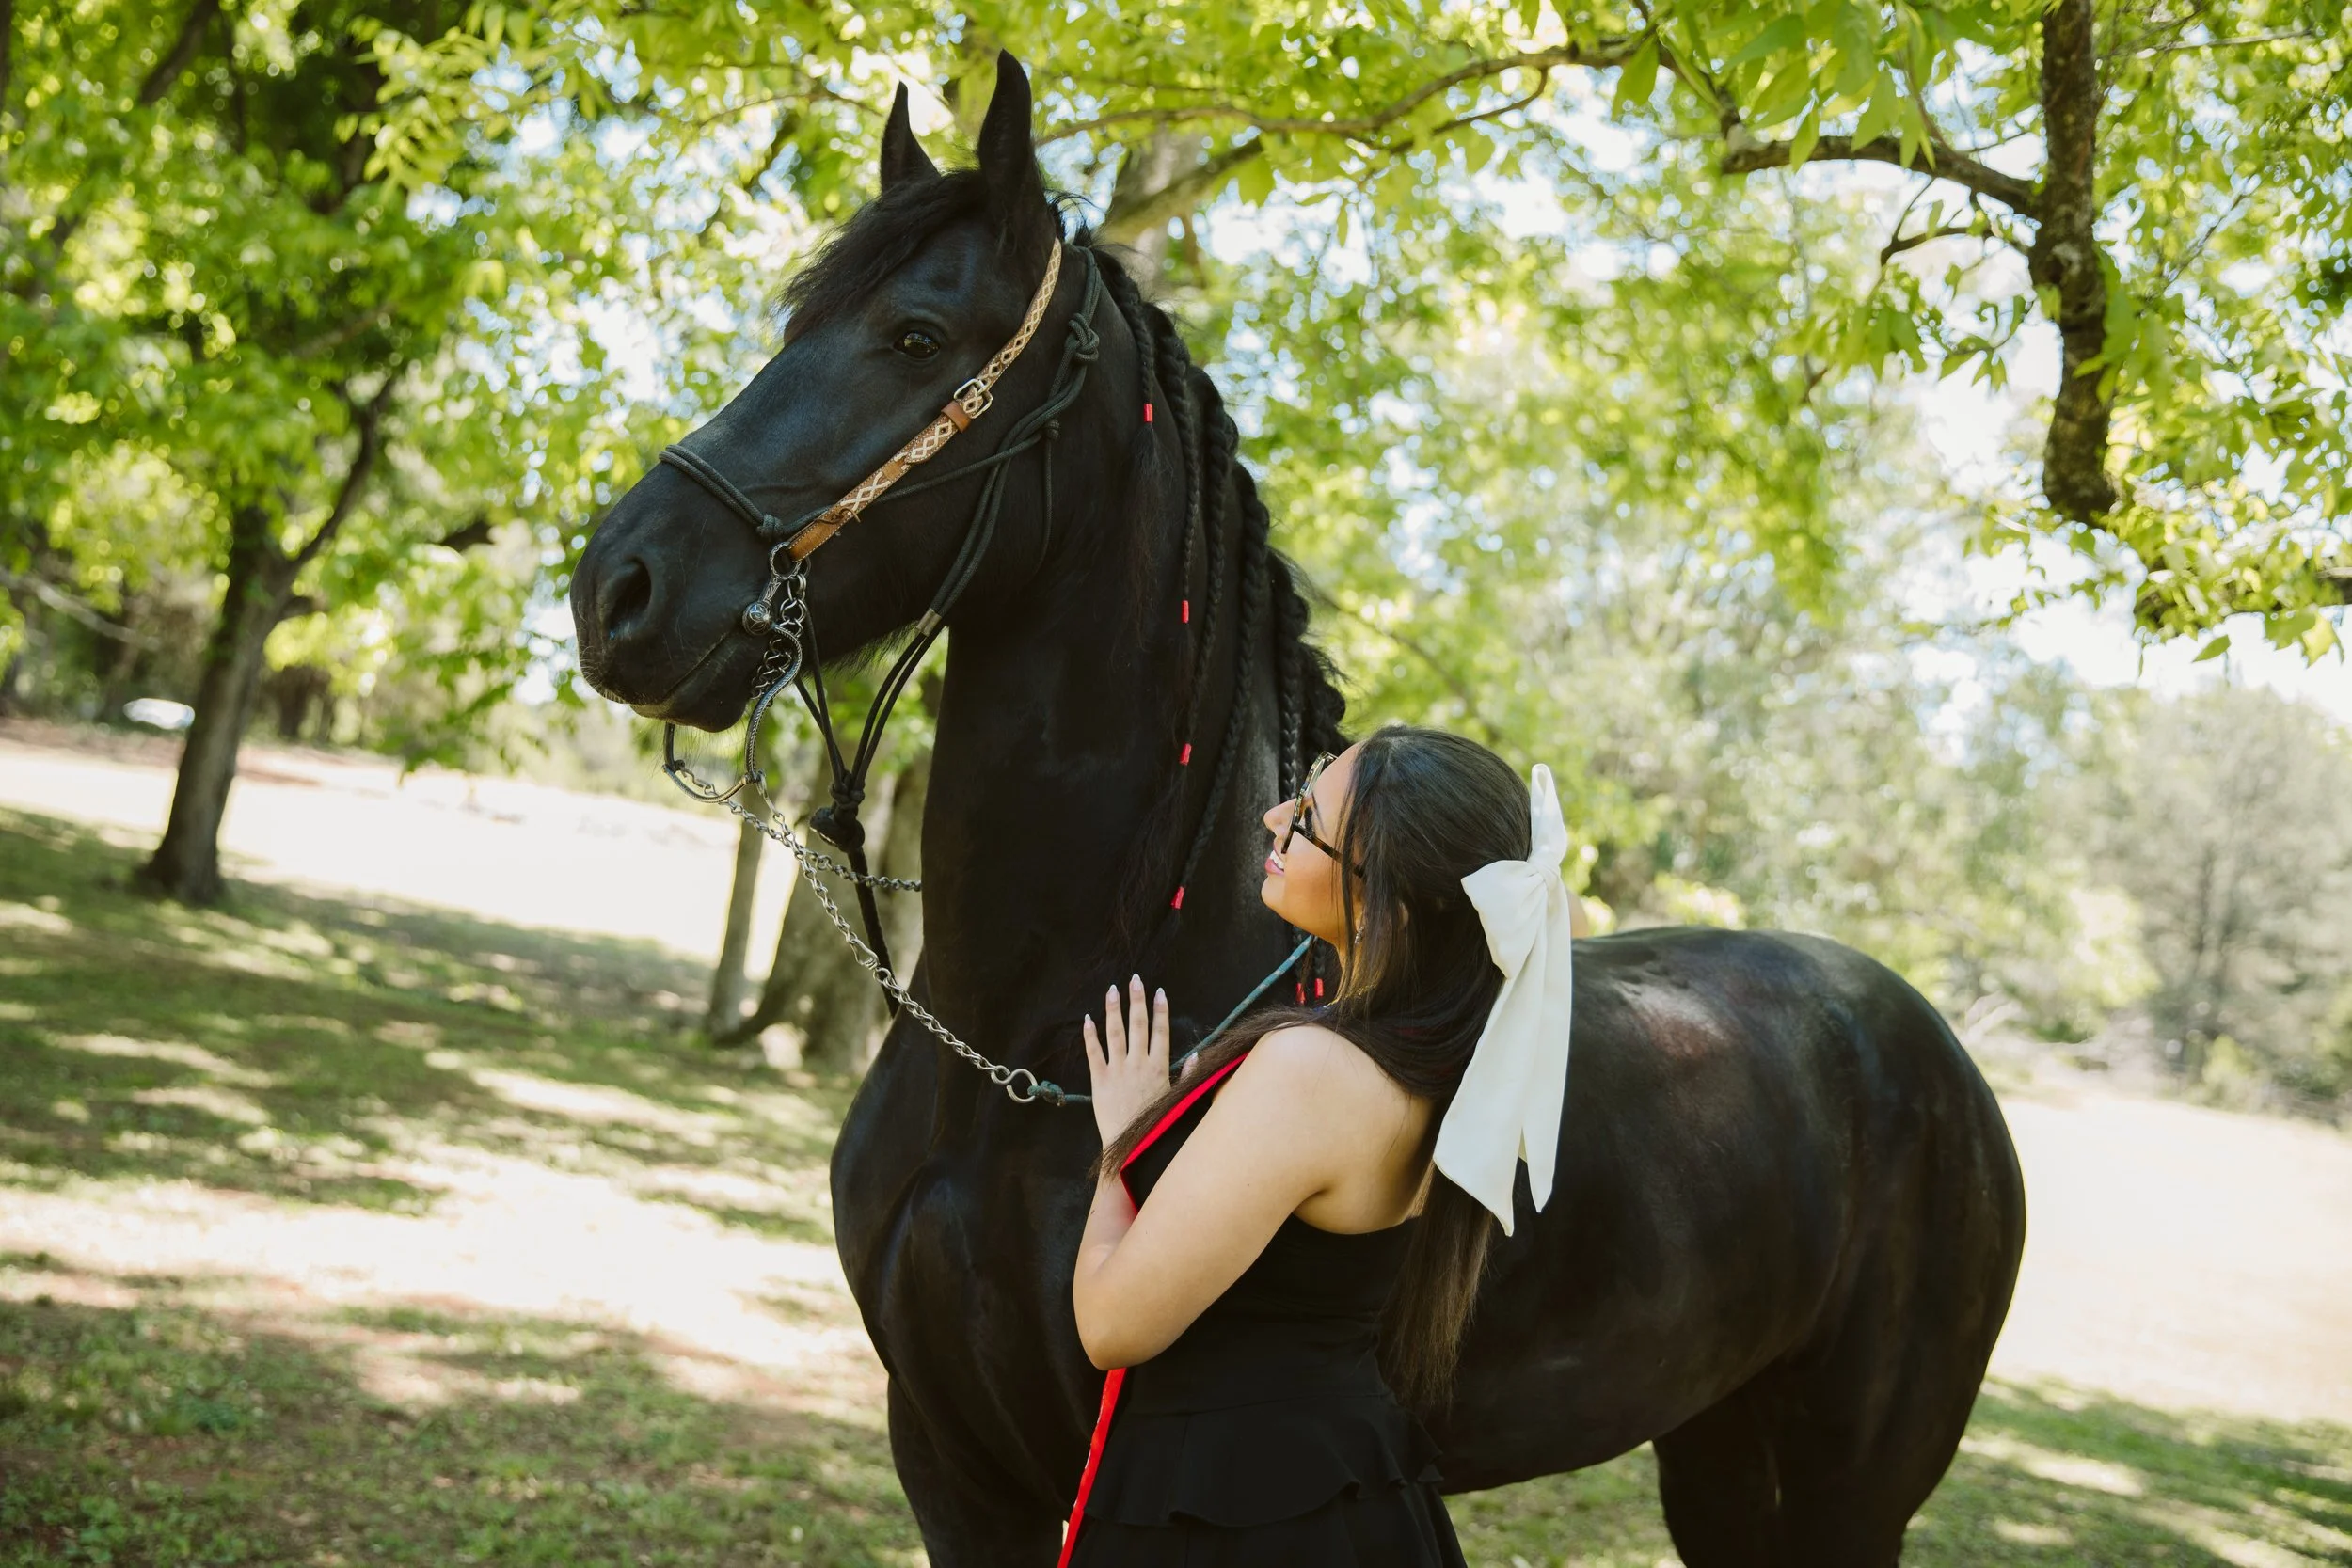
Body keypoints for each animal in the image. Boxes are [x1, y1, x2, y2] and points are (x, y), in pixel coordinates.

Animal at [568, 53, 2027, 1567]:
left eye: (916, 336)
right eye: (796, 320)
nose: (618, 587)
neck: (1020, 1060)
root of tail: (1931, 1048)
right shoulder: (952, 1459)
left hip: (1854, 1482)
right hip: (1719, 1449)